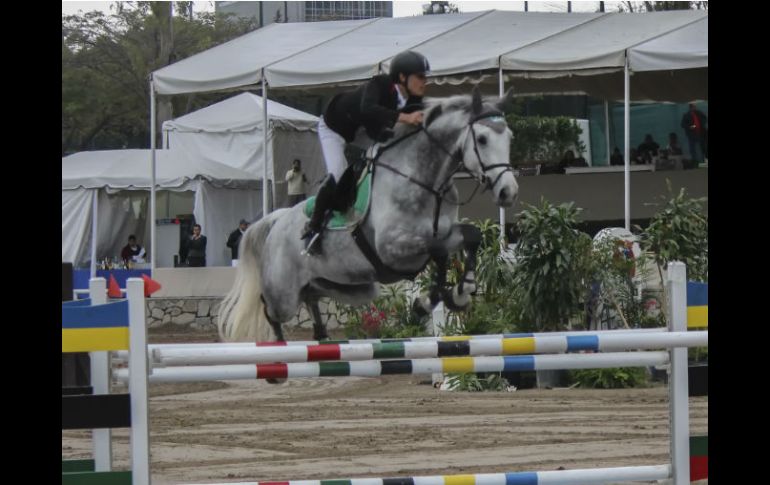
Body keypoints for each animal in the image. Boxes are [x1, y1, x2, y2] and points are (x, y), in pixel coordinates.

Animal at [218, 88, 516, 344]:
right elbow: (439, 249)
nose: (508, 192)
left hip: (352, 287)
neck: (423, 179)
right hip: (284, 295)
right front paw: (436, 300)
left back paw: (321, 337)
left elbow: (469, 238)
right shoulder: (392, 248)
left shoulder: (442, 233)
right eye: (482, 139)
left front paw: (457, 294)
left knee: (312, 298)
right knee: (270, 310)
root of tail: (277, 220)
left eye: (510, 138)